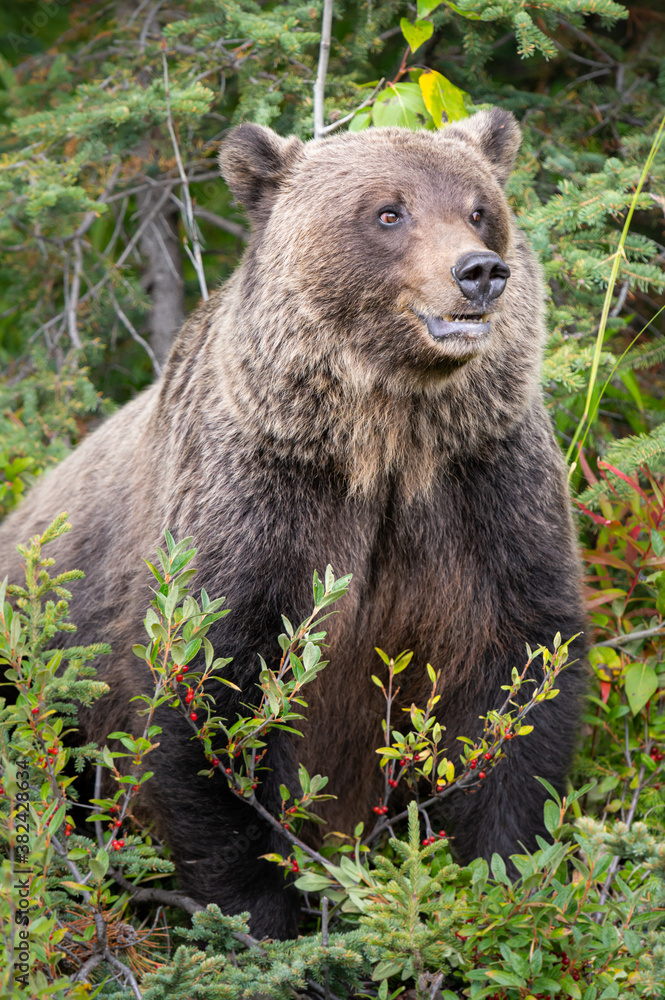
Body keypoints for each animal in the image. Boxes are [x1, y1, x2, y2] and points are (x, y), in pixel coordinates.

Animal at [0, 109, 586, 940]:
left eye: (479, 208)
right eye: (387, 211)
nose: (479, 271)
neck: (385, 445)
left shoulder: (483, 494)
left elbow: (516, 675)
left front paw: (498, 879)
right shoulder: (258, 511)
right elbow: (204, 698)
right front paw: (266, 920)